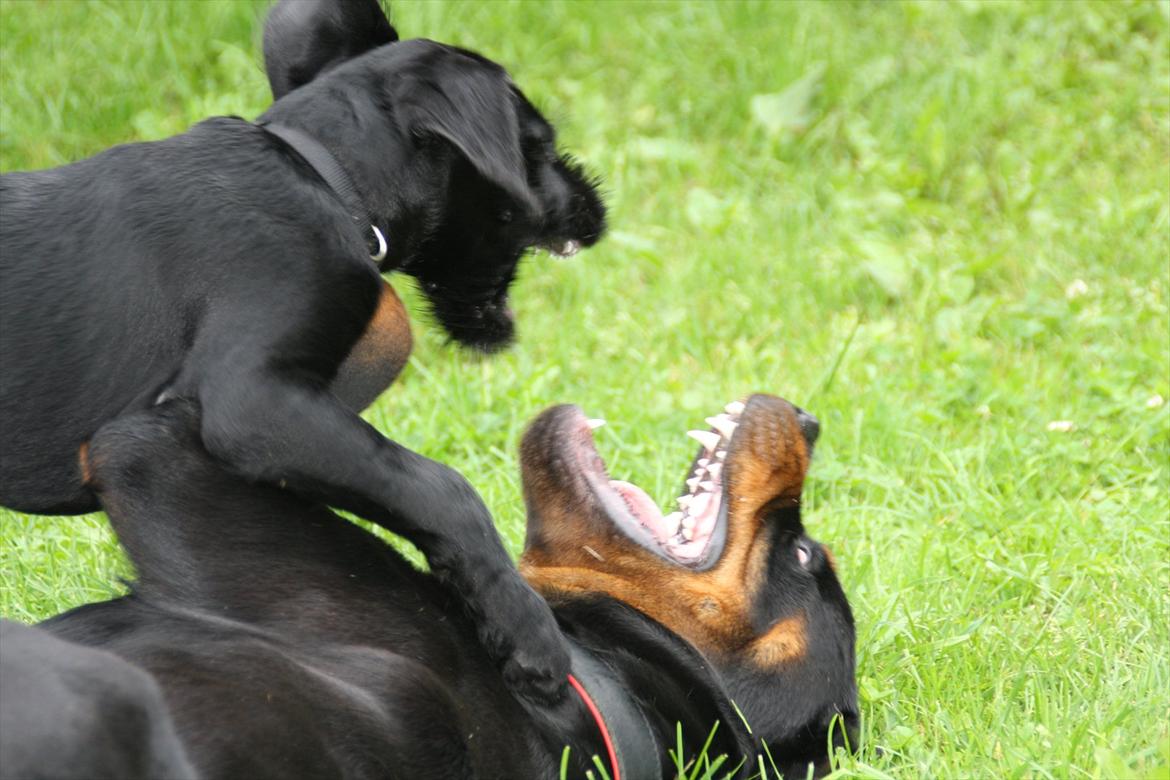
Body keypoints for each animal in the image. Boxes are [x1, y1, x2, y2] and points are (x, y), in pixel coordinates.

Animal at [0, 0, 603, 701]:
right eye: (537, 146)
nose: (594, 206)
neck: (323, 177)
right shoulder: (253, 401)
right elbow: (439, 487)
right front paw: (523, 627)